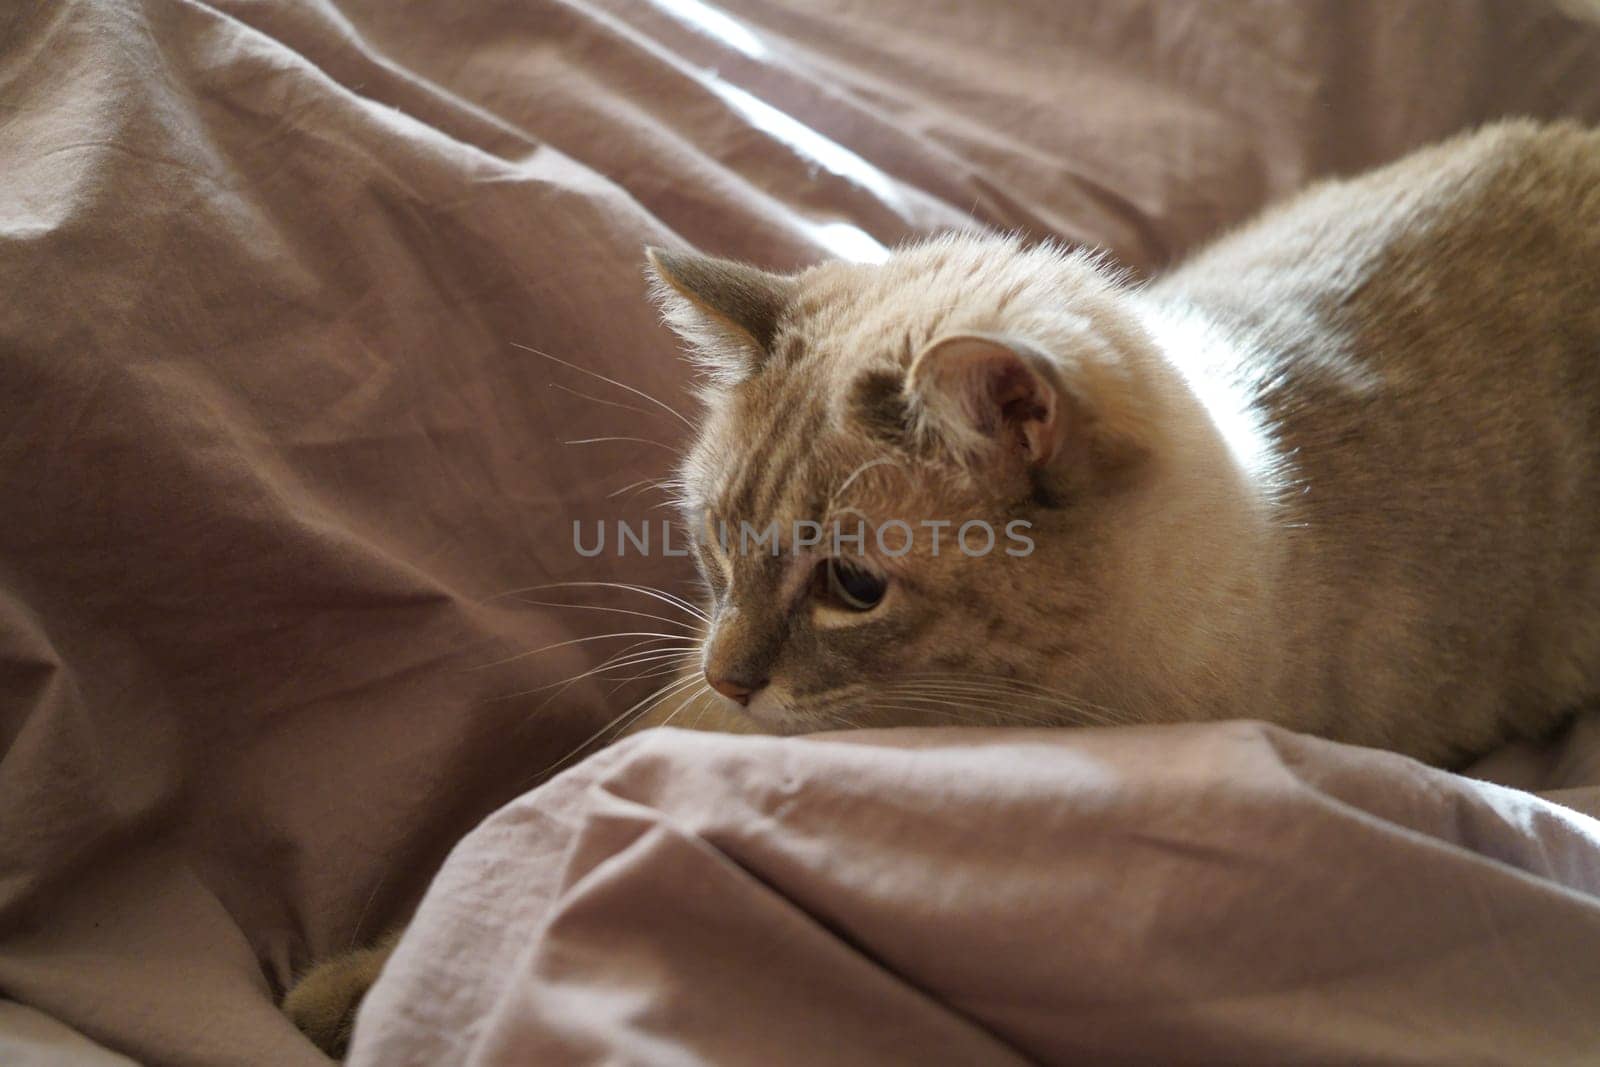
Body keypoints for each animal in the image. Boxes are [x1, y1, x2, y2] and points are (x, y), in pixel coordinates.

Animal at [284, 120, 1600, 1055]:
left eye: (851, 585)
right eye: (715, 542)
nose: (732, 672)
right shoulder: (691, 701)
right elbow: (507, 826)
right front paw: (334, 987)